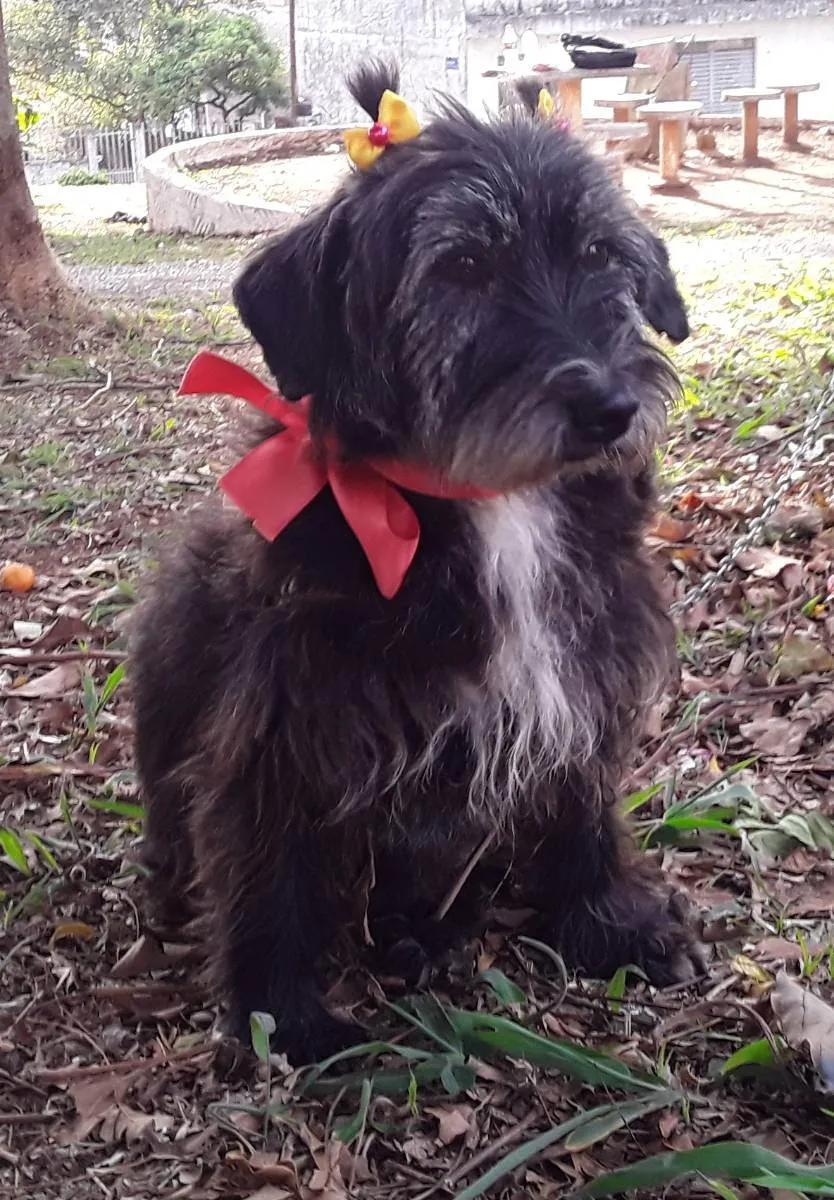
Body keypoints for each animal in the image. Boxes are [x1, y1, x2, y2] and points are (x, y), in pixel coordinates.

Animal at [132, 62, 699, 1065]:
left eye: (601, 253)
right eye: (463, 266)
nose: (611, 407)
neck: (494, 501)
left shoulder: (587, 673)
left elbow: (585, 808)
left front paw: (611, 920)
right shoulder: (285, 723)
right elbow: (272, 875)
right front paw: (284, 1017)